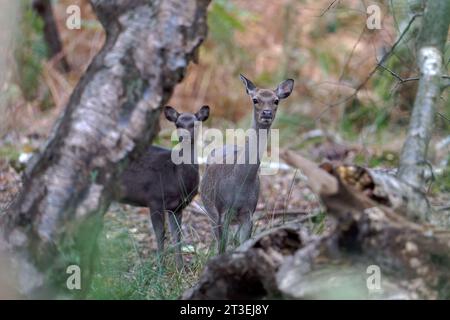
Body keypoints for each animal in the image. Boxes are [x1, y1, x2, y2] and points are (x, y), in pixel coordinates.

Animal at [115, 105, 208, 268]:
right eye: (178, 124)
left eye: (194, 124)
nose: (184, 137)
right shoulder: (154, 198)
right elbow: (160, 234)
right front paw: (160, 268)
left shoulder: (177, 207)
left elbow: (177, 235)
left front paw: (180, 267)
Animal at [201, 74, 296, 252]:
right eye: (255, 99)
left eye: (276, 100)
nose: (266, 113)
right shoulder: (222, 211)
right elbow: (222, 247)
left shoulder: (249, 212)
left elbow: (243, 243)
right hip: (210, 210)